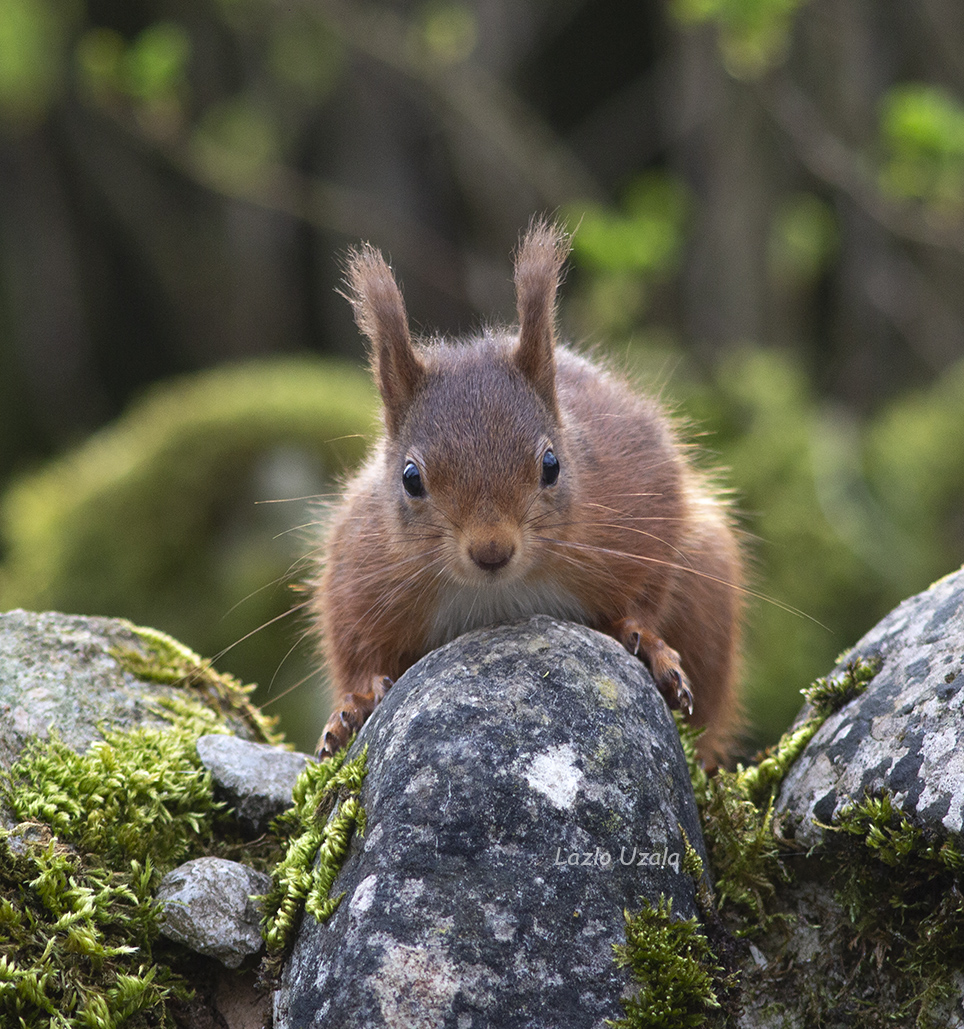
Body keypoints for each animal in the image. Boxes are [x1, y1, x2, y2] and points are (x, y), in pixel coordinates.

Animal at [310, 220, 743, 763]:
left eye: (552, 465)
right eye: (410, 478)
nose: (491, 551)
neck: (500, 596)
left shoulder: (645, 493)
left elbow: (647, 587)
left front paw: (646, 639)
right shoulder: (358, 566)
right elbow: (355, 645)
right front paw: (354, 705)